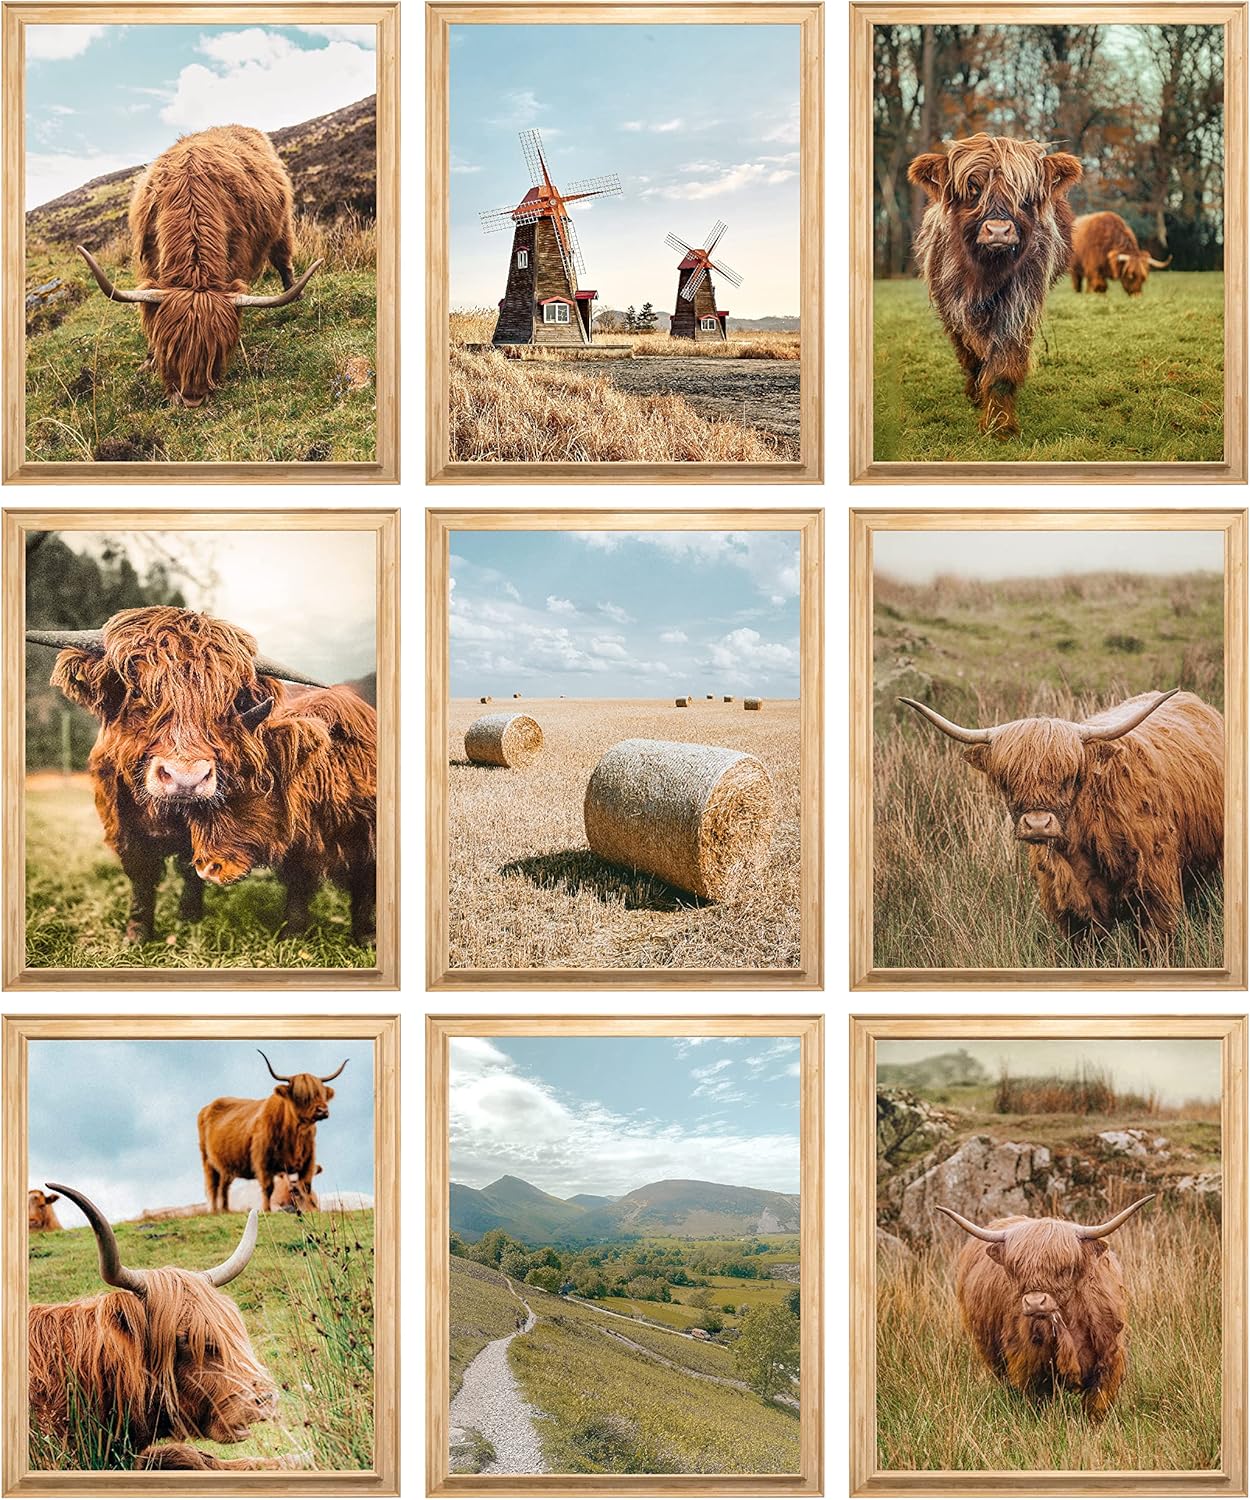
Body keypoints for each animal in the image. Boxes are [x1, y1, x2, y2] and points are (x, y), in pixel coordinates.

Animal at [75, 125, 322, 407]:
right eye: (170, 347)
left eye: (218, 349)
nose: (192, 399)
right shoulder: (150, 264)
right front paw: (149, 360)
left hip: (281, 225)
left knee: (283, 259)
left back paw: (295, 292)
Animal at [186, 684, 378, 945]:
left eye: (239, 784)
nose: (207, 869)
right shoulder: (297, 847)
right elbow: (298, 887)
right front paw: (292, 936)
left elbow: (366, 887)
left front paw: (368, 937)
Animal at [198, 1051, 347, 1214]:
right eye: (299, 1095)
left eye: (321, 1092)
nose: (323, 1110)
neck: (296, 1135)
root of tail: (208, 1107)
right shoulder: (263, 1161)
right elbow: (268, 1187)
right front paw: (266, 1210)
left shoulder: (308, 1161)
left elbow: (306, 1186)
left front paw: (311, 1210)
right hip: (208, 1161)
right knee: (213, 1186)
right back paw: (214, 1211)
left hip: (227, 1164)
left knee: (224, 1186)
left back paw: (225, 1210)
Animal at [907, 133, 1083, 437]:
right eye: (973, 188)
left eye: (1023, 193)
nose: (999, 231)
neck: (985, 274)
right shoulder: (951, 308)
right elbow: (969, 355)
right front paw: (977, 396)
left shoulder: (1019, 307)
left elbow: (1003, 367)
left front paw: (1000, 425)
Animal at [938, 1195, 1154, 1420]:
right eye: (1016, 1268)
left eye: (1065, 1268)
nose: (1035, 1302)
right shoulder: (1032, 1365)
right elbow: (1039, 1402)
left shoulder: (1109, 1357)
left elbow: (1096, 1406)